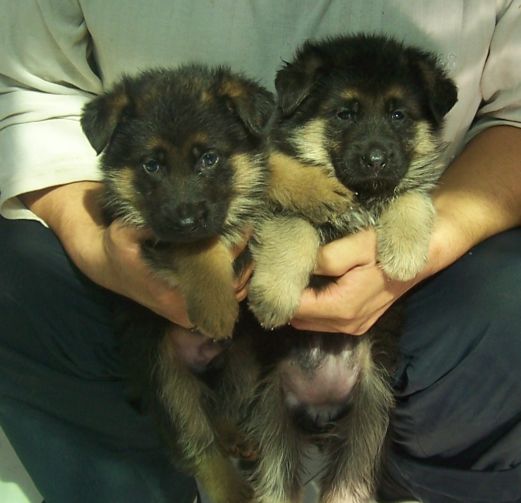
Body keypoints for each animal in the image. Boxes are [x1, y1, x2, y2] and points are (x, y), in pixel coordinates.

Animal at [80, 64, 274, 503]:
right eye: (151, 165)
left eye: (209, 158)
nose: (186, 219)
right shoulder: (149, 235)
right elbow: (198, 247)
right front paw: (216, 307)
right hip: (165, 376)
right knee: (195, 438)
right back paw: (231, 488)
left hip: (244, 358)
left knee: (219, 409)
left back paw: (234, 435)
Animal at [242, 34, 458, 502]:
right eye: (345, 114)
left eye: (398, 114)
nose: (376, 159)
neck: (363, 195)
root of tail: (320, 404)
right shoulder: (276, 206)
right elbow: (294, 225)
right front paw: (274, 296)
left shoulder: (406, 186)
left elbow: (412, 196)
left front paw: (404, 253)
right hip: (272, 420)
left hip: (370, 415)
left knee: (350, 481)